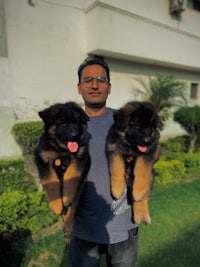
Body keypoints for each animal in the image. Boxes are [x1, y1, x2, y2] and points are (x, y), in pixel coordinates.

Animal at [34, 101, 90, 243]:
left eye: (77, 122)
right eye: (63, 123)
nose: (75, 135)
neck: (63, 150)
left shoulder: (80, 158)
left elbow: (71, 175)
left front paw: (65, 196)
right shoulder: (44, 161)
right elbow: (51, 182)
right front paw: (55, 204)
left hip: (78, 194)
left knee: (70, 212)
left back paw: (69, 230)